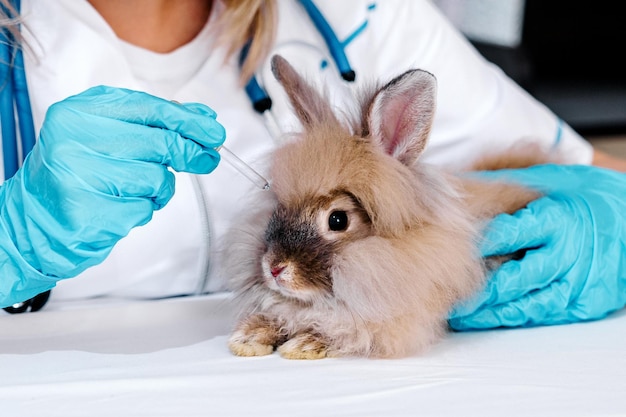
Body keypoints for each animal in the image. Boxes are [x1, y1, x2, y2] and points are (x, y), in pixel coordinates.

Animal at [223, 53, 544, 360]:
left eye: (337, 220)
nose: (274, 268)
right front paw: (249, 338)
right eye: (279, 207)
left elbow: (347, 331)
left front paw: (304, 344)